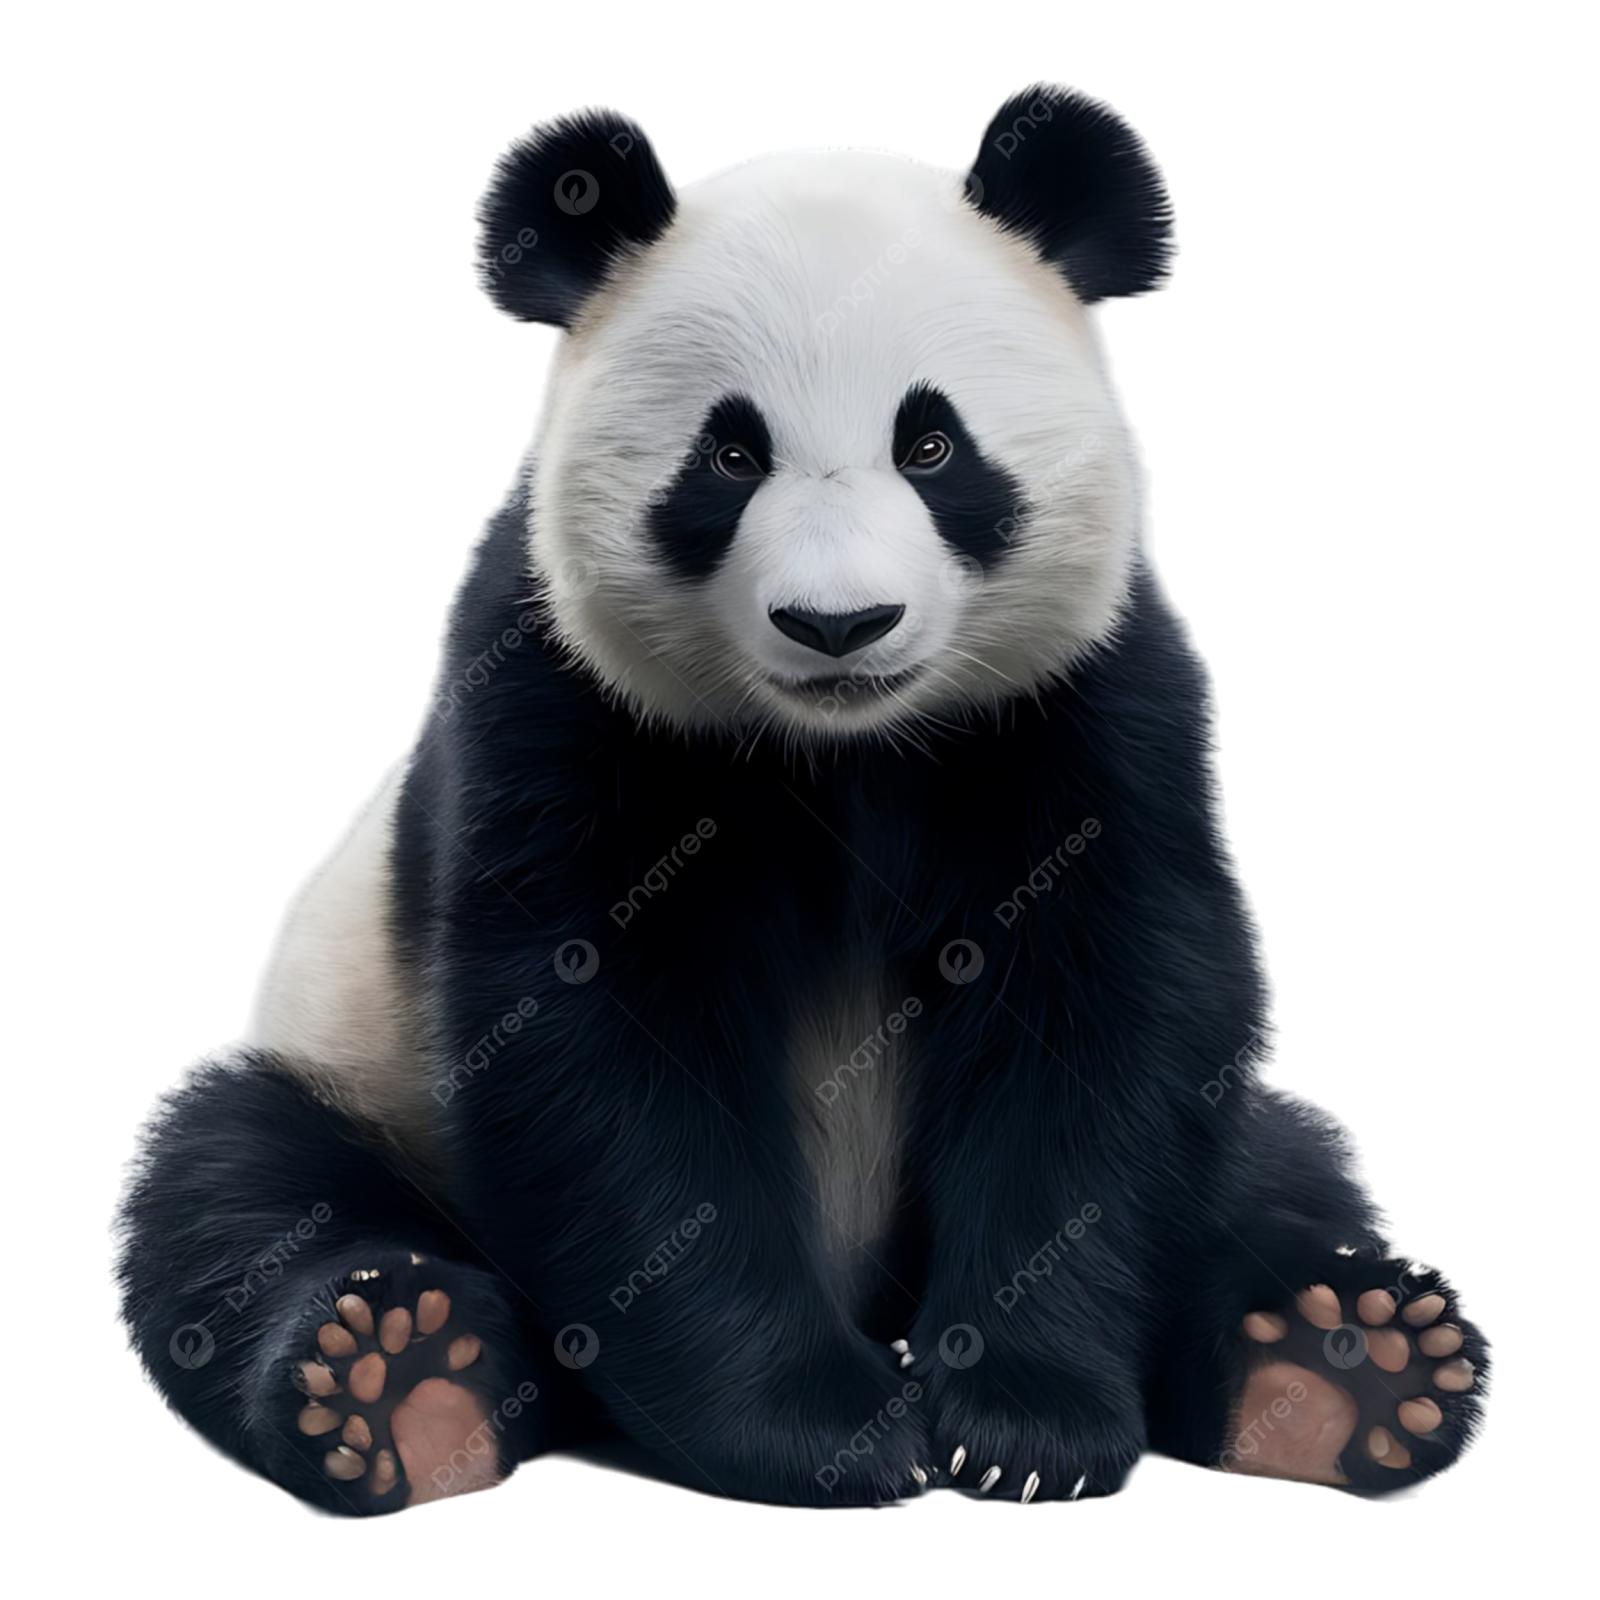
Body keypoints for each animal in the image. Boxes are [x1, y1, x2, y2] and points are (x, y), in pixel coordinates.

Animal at [109, 83, 1492, 1519]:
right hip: (348, 1063)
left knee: (1286, 1163)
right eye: (729, 454)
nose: (840, 625)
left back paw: (1341, 1367)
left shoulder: (1091, 699)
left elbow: (1106, 1018)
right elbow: (602, 1055)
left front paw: (1024, 1427)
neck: (846, 748)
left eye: (932, 445)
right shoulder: (558, 697)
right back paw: (400, 1381)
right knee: (232, 1185)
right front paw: (824, 1433)